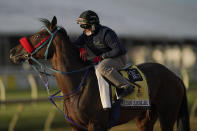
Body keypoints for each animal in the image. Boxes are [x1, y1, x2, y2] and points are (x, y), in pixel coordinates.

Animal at [9, 16, 189, 131]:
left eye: (38, 36)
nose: (12, 52)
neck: (77, 86)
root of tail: (175, 76)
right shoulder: (77, 127)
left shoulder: (96, 125)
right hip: (144, 119)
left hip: (167, 116)